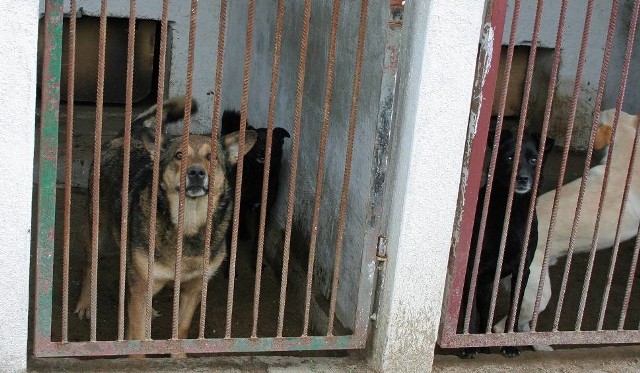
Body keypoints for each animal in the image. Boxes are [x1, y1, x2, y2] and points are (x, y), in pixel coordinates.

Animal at [220, 110, 290, 274]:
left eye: (272, 140)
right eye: (257, 140)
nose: (262, 152)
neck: (258, 176)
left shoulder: (264, 211)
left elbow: (259, 240)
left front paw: (256, 264)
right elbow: (231, 242)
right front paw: (229, 270)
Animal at [460, 129, 556, 358]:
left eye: (533, 160)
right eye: (510, 158)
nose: (522, 178)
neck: (512, 212)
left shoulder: (521, 270)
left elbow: (514, 308)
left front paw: (509, 345)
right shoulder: (472, 270)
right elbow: (470, 313)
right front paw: (468, 348)